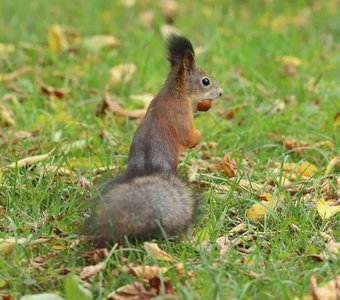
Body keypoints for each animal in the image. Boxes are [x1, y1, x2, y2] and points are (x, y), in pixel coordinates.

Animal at [89, 34, 224, 243]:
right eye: (205, 81)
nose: (220, 93)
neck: (174, 93)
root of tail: (146, 171)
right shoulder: (180, 114)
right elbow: (187, 135)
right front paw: (198, 137)